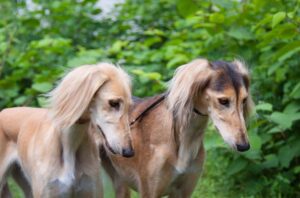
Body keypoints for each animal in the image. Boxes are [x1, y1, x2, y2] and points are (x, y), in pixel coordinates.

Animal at [100, 59, 253, 198]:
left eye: (244, 100)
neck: (185, 139)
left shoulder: (183, 191)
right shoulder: (149, 190)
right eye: (223, 101)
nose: (244, 146)